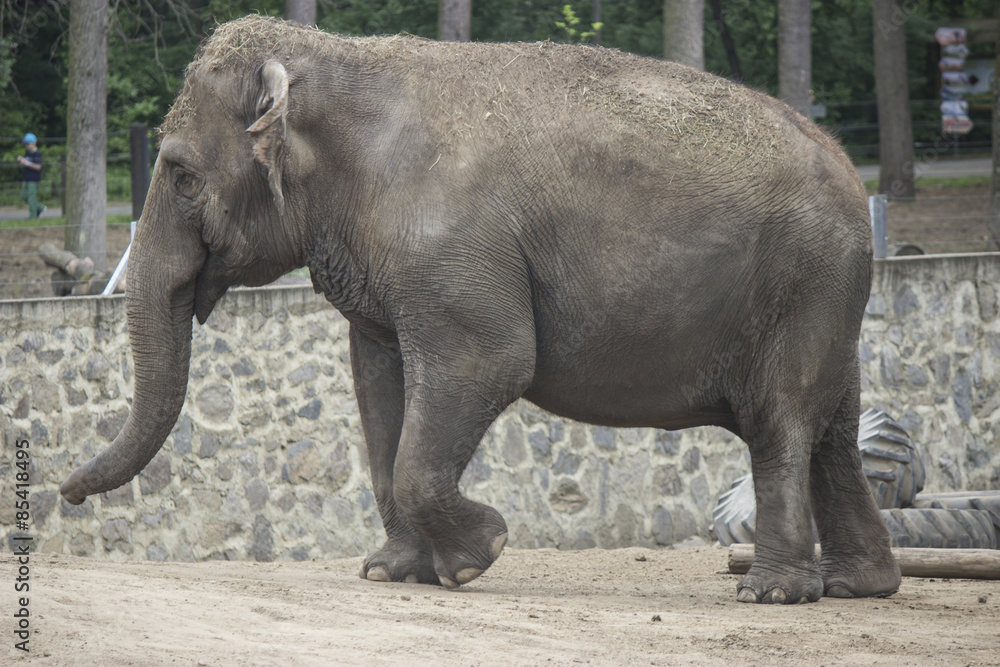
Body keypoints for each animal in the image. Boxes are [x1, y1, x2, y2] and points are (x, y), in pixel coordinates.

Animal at [61, 15, 900, 604]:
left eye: (180, 174)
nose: (64, 492)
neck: (338, 59)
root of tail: (850, 170)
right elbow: (379, 384)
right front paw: (389, 571)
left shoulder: (453, 253)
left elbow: (489, 361)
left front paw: (479, 555)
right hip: (829, 298)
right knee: (833, 425)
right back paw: (860, 585)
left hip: (804, 285)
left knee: (780, 420)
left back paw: (772, 590)